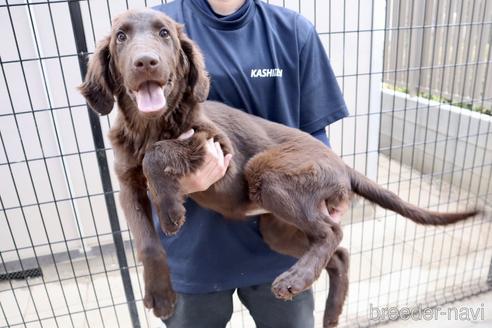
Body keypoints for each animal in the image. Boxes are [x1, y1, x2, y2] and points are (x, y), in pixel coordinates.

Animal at [80, 9, 480, 326]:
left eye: (164, 33)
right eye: (121, 37)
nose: (145, 61)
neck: (148, 127)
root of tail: (341, 163)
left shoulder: (216, 146)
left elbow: (159, 154)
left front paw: (170, 211)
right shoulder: (127, 186)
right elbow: (147, 242)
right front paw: (161, 295)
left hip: (268, 175)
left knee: (333, 233)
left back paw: (294, 280)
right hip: (276, 227)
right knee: (337, 252)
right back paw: (330, 310)